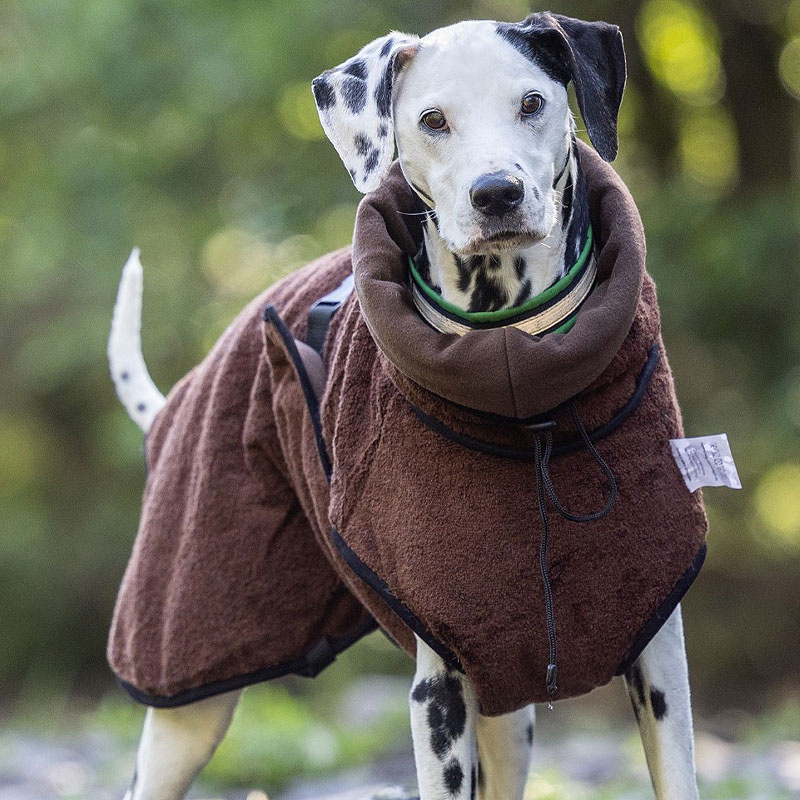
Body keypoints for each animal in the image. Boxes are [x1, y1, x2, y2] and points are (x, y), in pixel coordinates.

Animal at [114, 10, 700, 800]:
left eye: (532, 102)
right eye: (432, 120)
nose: (496, 193)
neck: (519, 379)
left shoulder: (659, 657)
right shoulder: (439, 691)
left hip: (510, 722)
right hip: (188, 695)